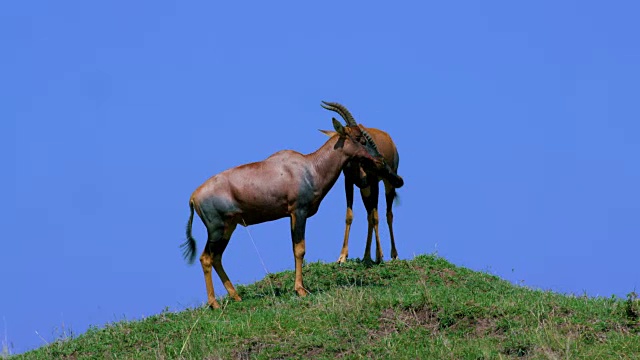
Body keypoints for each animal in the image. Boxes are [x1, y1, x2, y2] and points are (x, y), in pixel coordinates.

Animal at [318, 104, 402, 264]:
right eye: (358, 139)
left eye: (363, 139)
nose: (379, 159)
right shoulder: (349, 182)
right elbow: (350, 215)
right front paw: (342, 256)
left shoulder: (374, 181)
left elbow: (376, 217)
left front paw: (380, 256)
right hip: (365, 189)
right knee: (369, 215)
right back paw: (367, 256)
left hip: (387, 184)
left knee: (388, 214)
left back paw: (393, 255)